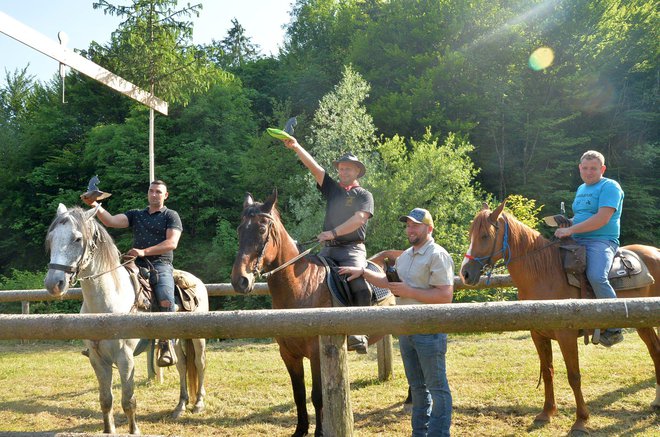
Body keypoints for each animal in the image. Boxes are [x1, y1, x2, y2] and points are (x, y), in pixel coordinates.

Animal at [229, 190, 400, 436]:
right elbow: (299, 394)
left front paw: (319, 431)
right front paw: (300, 430)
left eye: (261, 229)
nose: (240, 280)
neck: (301, 286)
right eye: (240, 229)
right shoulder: (289, 354)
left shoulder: (318, 353)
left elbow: (317, 396)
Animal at [458, 200, 660, 432]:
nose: (465, 274)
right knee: (655, 351)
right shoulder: (538, 334)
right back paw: (657, 400)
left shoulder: (566, 336)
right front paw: (546, 412)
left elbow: (574, 376)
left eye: (484, 235)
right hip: (643, 321)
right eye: (470, 234)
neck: (544, 273)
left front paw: (581, 420)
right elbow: (547, 372)